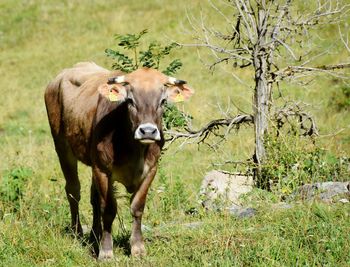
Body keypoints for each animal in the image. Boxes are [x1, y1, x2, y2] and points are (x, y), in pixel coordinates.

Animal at [43, 62, 194, 260]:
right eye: (130, 101)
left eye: (162, 101)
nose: (147, 131)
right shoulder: (103, 170)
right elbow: (108, 209)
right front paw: (106, 251)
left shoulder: (151, 169)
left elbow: (137, 207)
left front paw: (138, 248)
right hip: (62, 146)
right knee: (73, 190)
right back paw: (78, 233)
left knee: (93, 197)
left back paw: (95, 235)